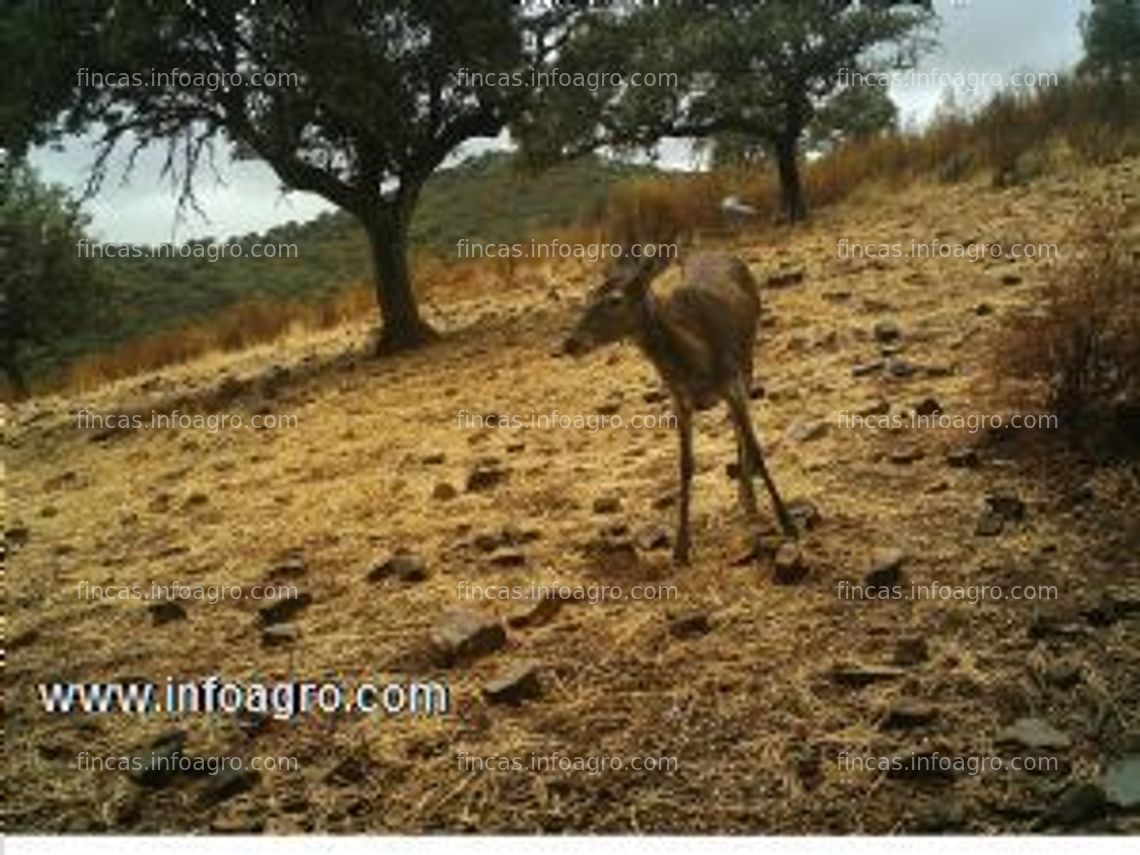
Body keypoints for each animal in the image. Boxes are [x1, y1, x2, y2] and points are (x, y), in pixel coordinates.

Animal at [558, 250, 793, 565]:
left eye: (615, 300)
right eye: (589, 295)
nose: (571, 342)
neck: (695, 358)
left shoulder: (732, 380)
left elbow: (755, 446)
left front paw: (788, 522)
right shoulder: (679, 400)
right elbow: (685, 464)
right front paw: (680, 547)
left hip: (748, 359)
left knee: (740, 429)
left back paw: (749, 497)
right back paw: (746, 497)